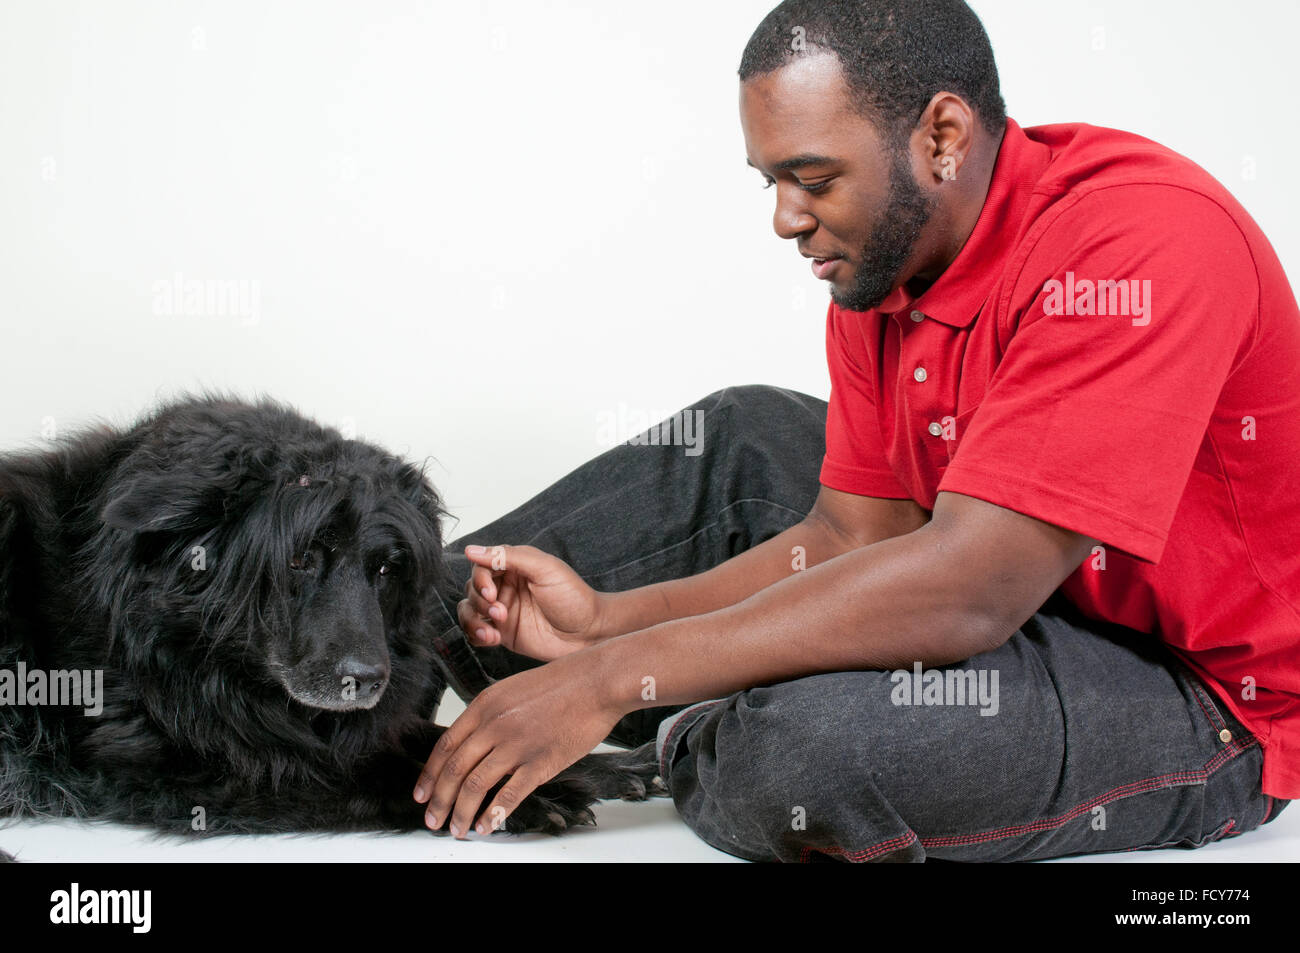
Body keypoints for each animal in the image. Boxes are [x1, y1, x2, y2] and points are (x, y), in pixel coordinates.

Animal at [0, 390, 655, 842]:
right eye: (299, 559)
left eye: (386, 569)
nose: (365, 681)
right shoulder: (174, 769)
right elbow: (367, 775)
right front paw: (528, 798)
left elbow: (438, 737)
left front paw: (595, 767)